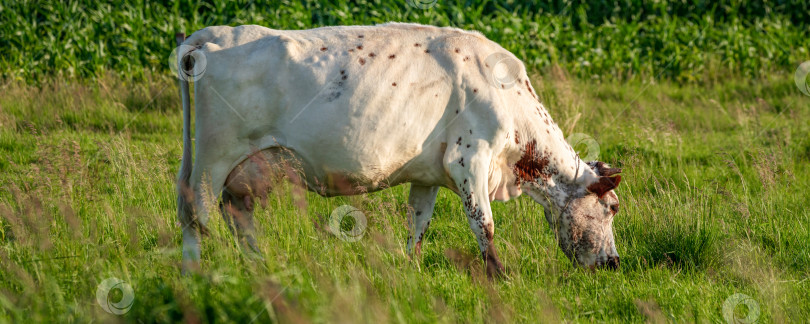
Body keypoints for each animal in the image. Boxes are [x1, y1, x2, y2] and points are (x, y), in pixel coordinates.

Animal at [175, 22, 620, 278]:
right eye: (612, 208)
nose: (614, 263)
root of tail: (210, 34)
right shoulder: (469, 159)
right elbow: (484, 223)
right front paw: (499, 276)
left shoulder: (429, 174)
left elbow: (418, 224)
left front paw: (412, 269)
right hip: (214, 157)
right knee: (197, 213)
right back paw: (198, 276)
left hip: (249, 166)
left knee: (236, 214)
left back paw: (257, 265)